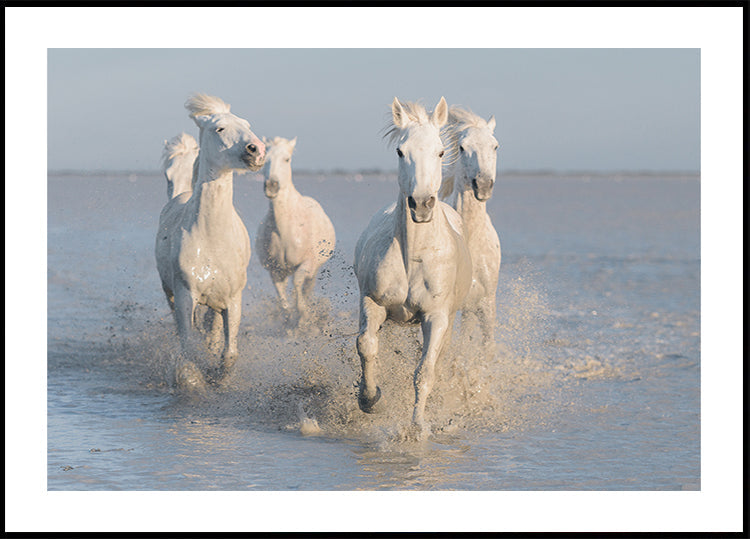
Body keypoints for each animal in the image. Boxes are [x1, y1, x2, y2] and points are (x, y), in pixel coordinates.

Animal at [155, 93, 266, 388]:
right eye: (220, 128)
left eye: (246, 124)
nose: (257, 150)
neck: (212, 239)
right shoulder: (185, 296)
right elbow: (188, 348)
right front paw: (194, 379)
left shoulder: (233, 300)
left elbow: (229, 352)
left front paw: (218, 377)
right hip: (170, 292)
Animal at [256, 136, 336, 332]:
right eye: (264, 159)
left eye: (287, 159)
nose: (271, 186)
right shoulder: (275, 270)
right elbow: (282, 296)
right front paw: (288, 320)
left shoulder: (307, 264)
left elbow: (298, 284)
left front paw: (303, 318)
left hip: (314, 269)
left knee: (307, 287)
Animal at [353, 97, 472, 438]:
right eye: (400, 151)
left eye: (441, 151)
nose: (421, 205)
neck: (414, 257)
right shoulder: (373, 302)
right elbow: (366, 345)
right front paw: (370, 399)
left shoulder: (436, 317)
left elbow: (424, 371)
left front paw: (417, 427)